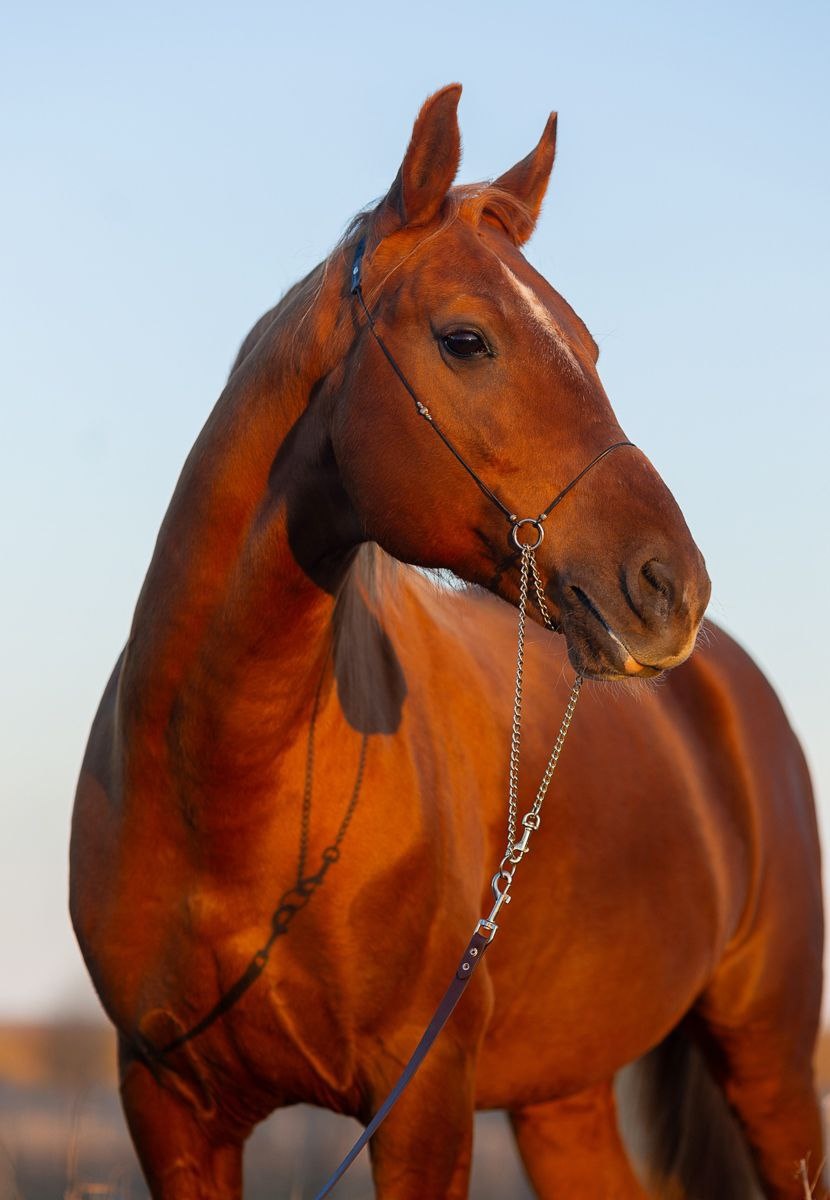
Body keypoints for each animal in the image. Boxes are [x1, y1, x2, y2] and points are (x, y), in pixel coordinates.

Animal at [70, 84, 824, 1199]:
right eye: (466, 340)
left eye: (589, 347)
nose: (669, 587)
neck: (223, 795)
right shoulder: (167, 1110)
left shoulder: (422, 1101)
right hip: (564, 1096)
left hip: (770, 1061)